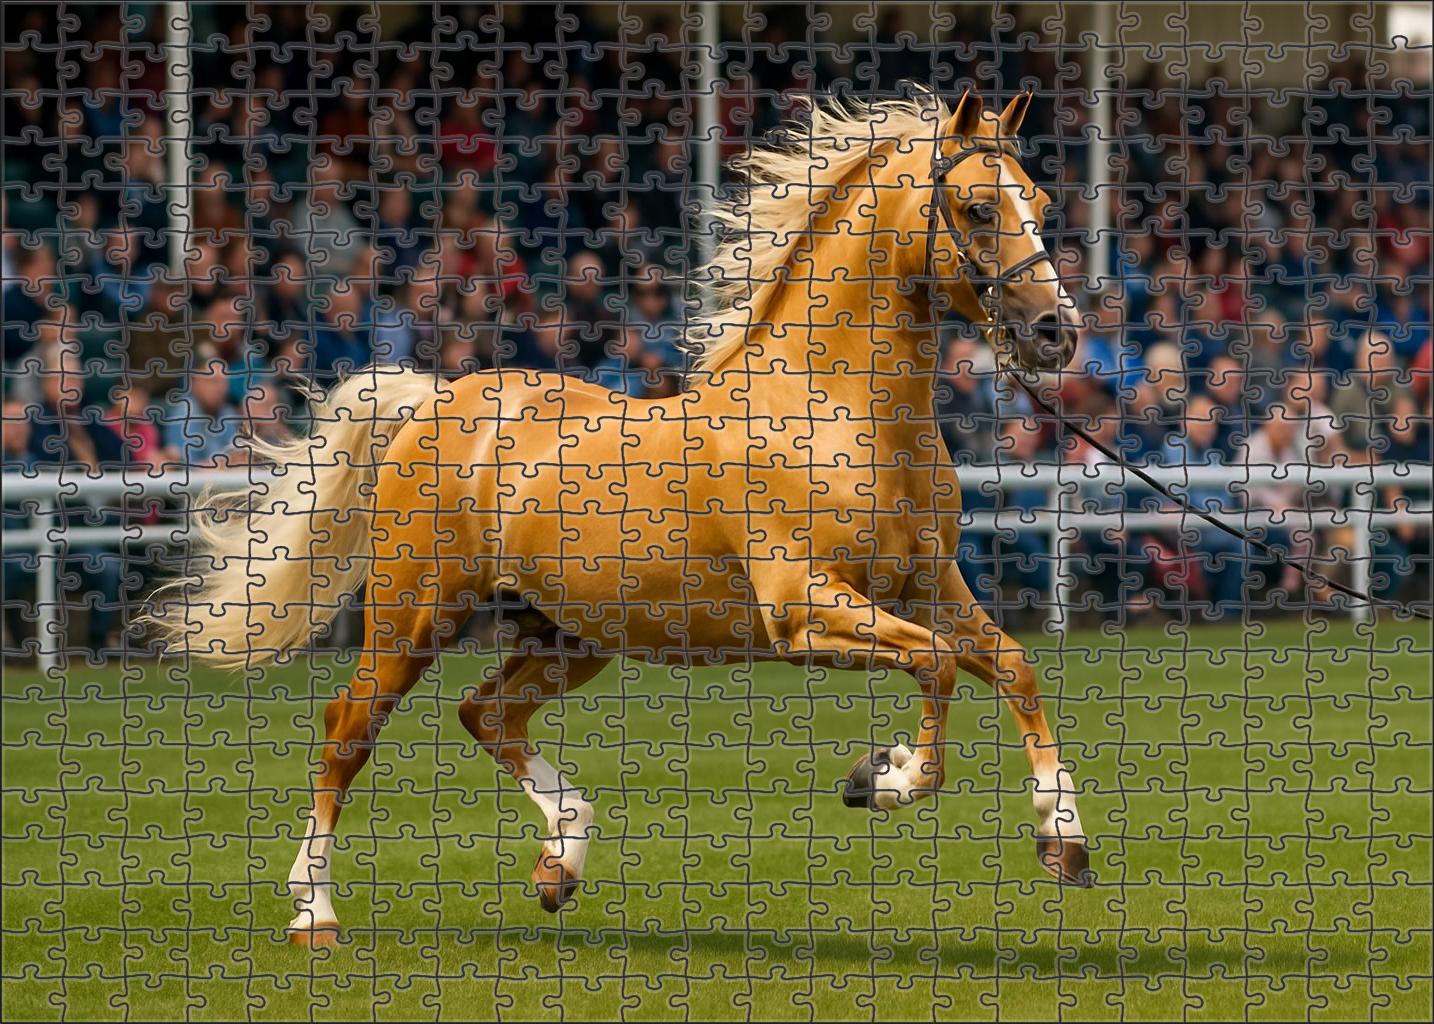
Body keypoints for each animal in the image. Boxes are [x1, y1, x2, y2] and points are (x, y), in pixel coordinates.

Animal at [145, 87, 1090, 946]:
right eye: (977, 207)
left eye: (1040, 205)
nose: (1057, 332)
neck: (834, 411)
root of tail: (432, 400)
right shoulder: (803, 611)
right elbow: (936, 667)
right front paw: (881, 777)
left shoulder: (928, 587)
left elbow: (1011, 669)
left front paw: (1063, 843)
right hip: (413, 618)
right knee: (349, 729)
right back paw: (317, 914)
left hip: (572, 635)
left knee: (487, 714)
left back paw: (559, 866)